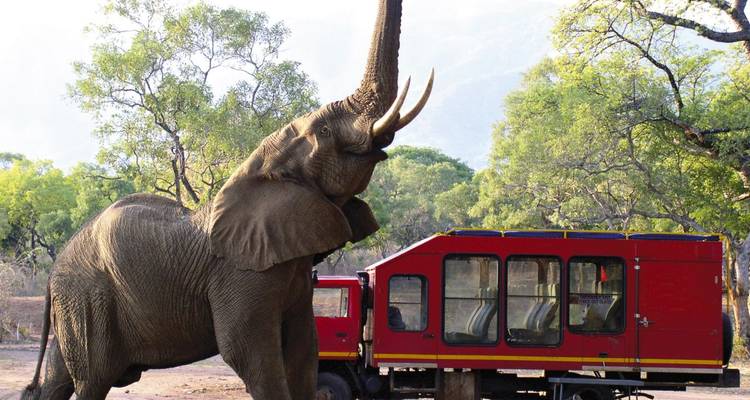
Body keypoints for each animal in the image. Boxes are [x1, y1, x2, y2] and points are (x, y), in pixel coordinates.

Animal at [20, 0, 433, 399]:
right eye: (325, 131)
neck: (257, 171)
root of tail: (54, 273)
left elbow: (305, 353)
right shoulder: (239, 273)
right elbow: (250, 354)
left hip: (76, 303)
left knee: (57, 380)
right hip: (90, 300)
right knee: (92, 380)